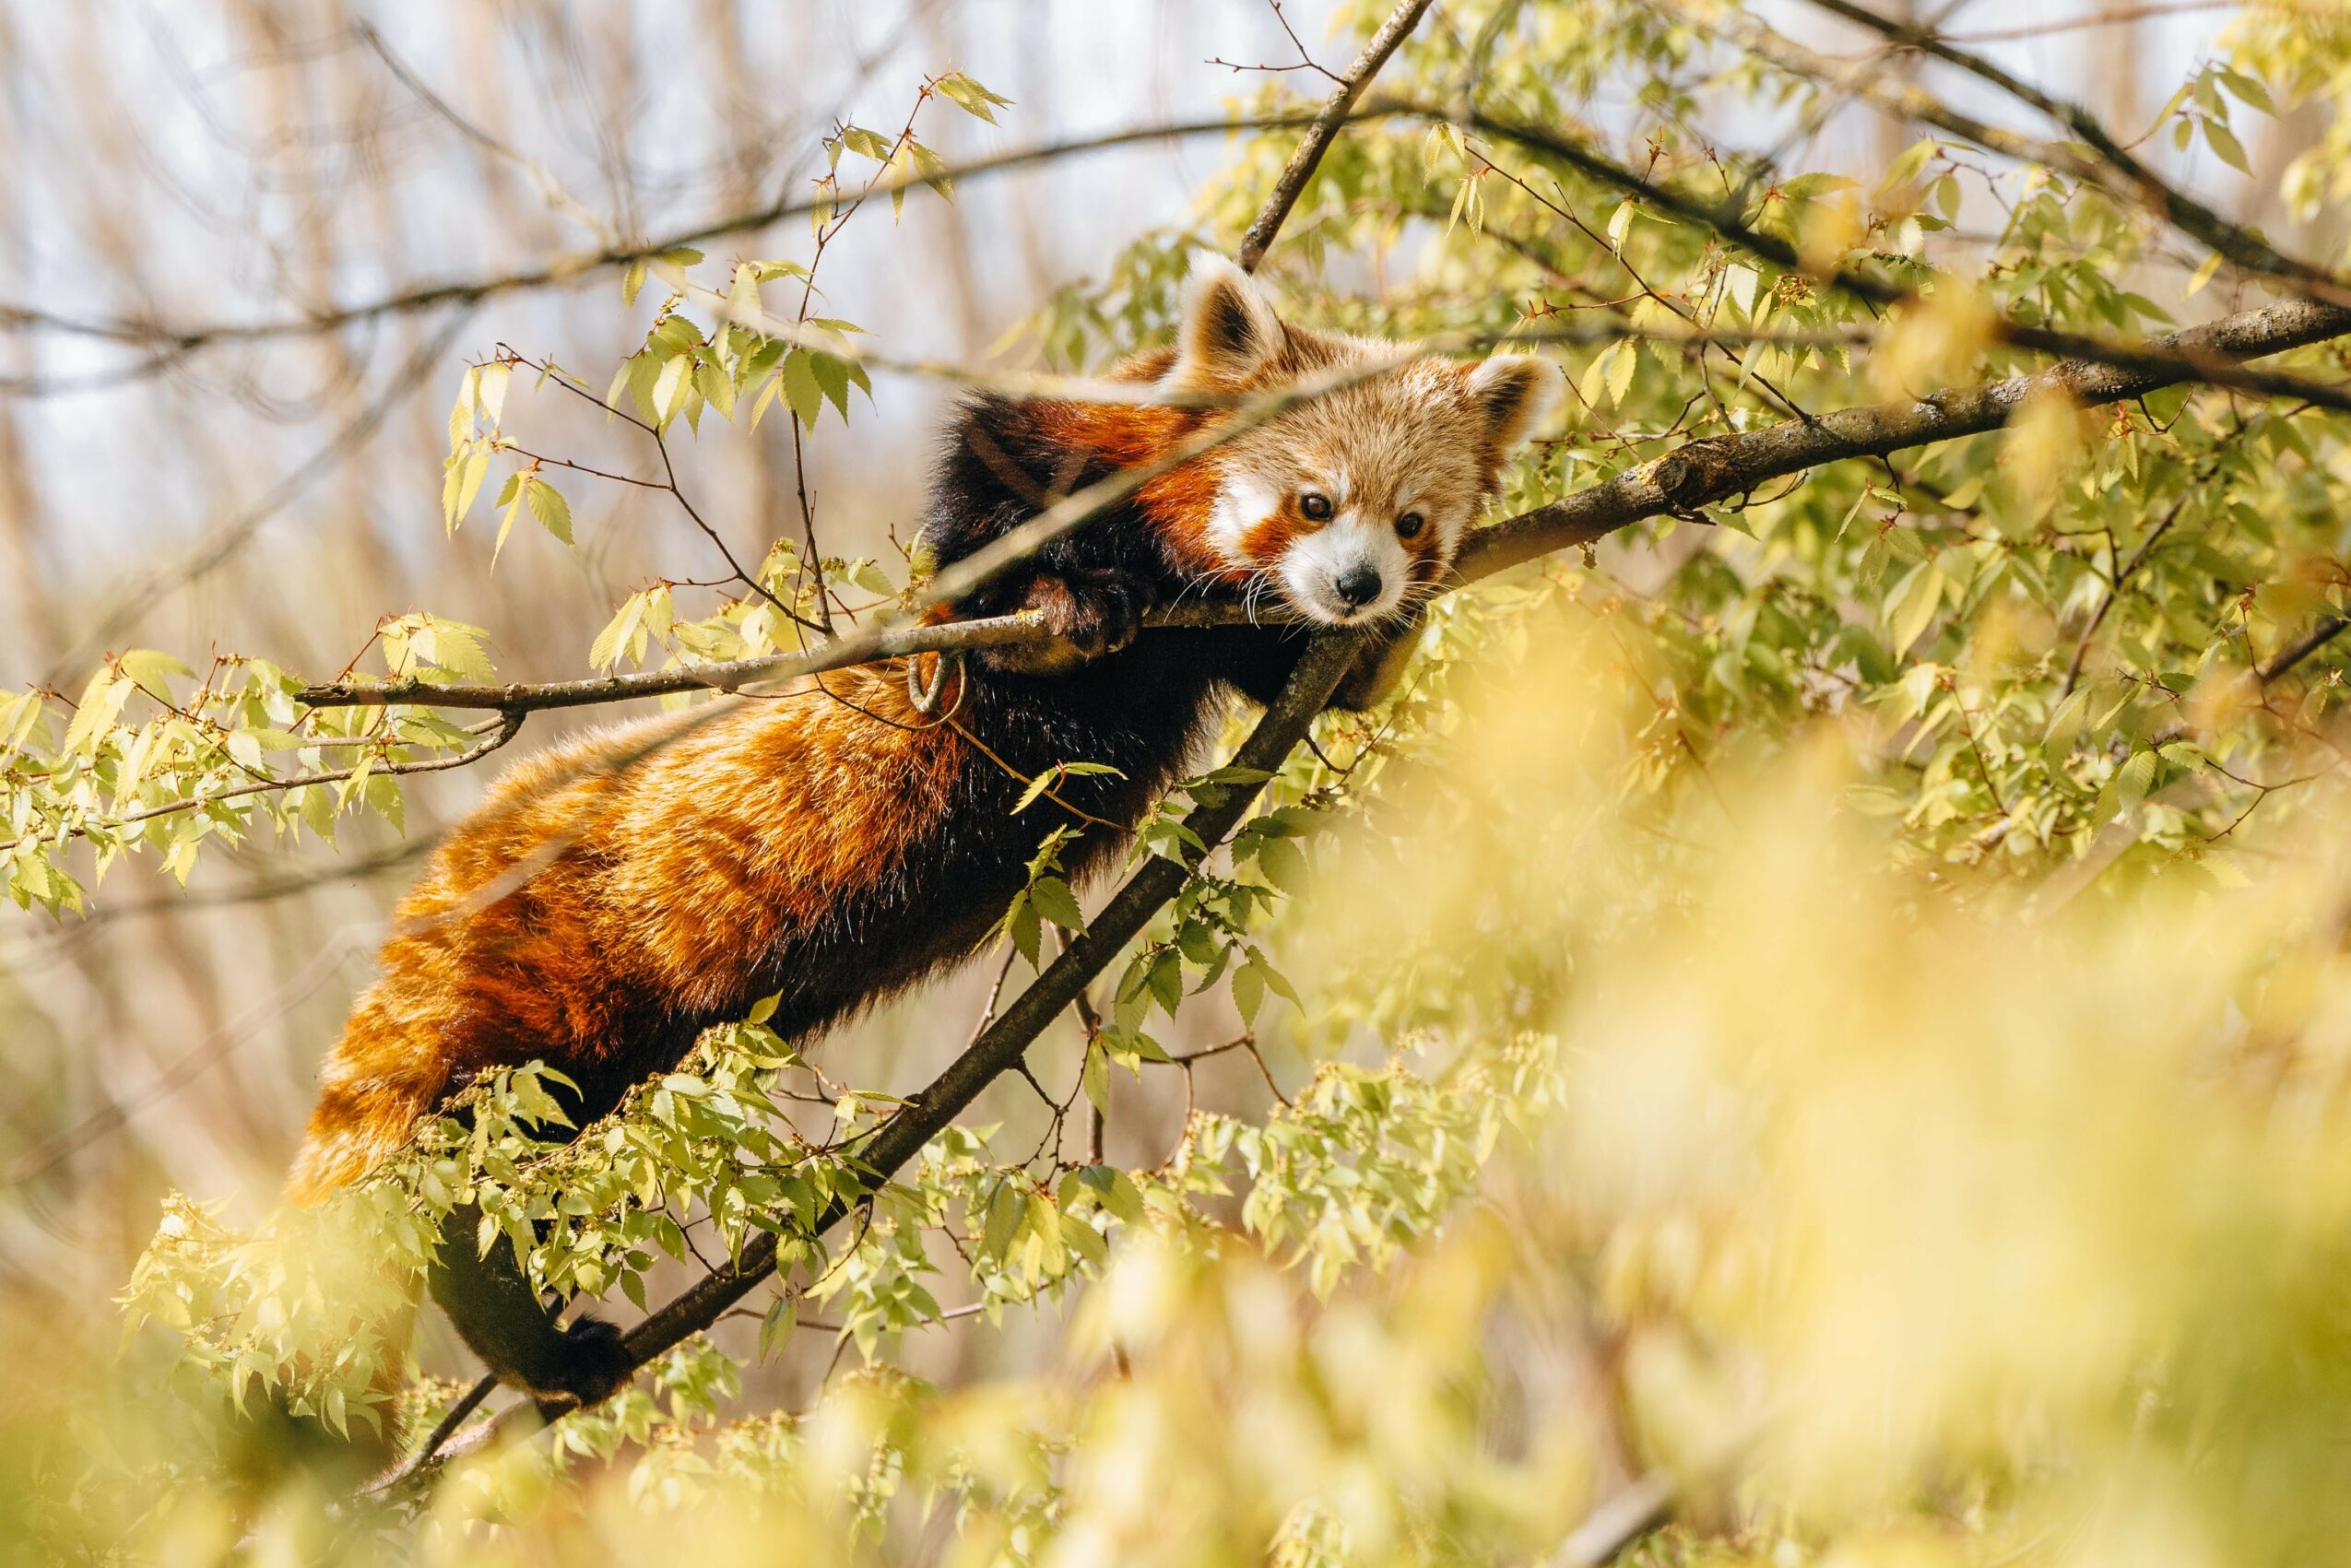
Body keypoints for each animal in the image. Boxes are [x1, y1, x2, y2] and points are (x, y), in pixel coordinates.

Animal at [287, 253, 1560, 1418]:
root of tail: (448, 879)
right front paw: (1067, 600)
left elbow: (1311, 677)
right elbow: (990, 523)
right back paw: (516, 1332)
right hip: (538, 1000)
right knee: (459, 1170)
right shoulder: (1057, 465)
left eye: (1412, 522)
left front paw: (1380, 641)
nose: (1356, 585)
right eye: (1312, 502)